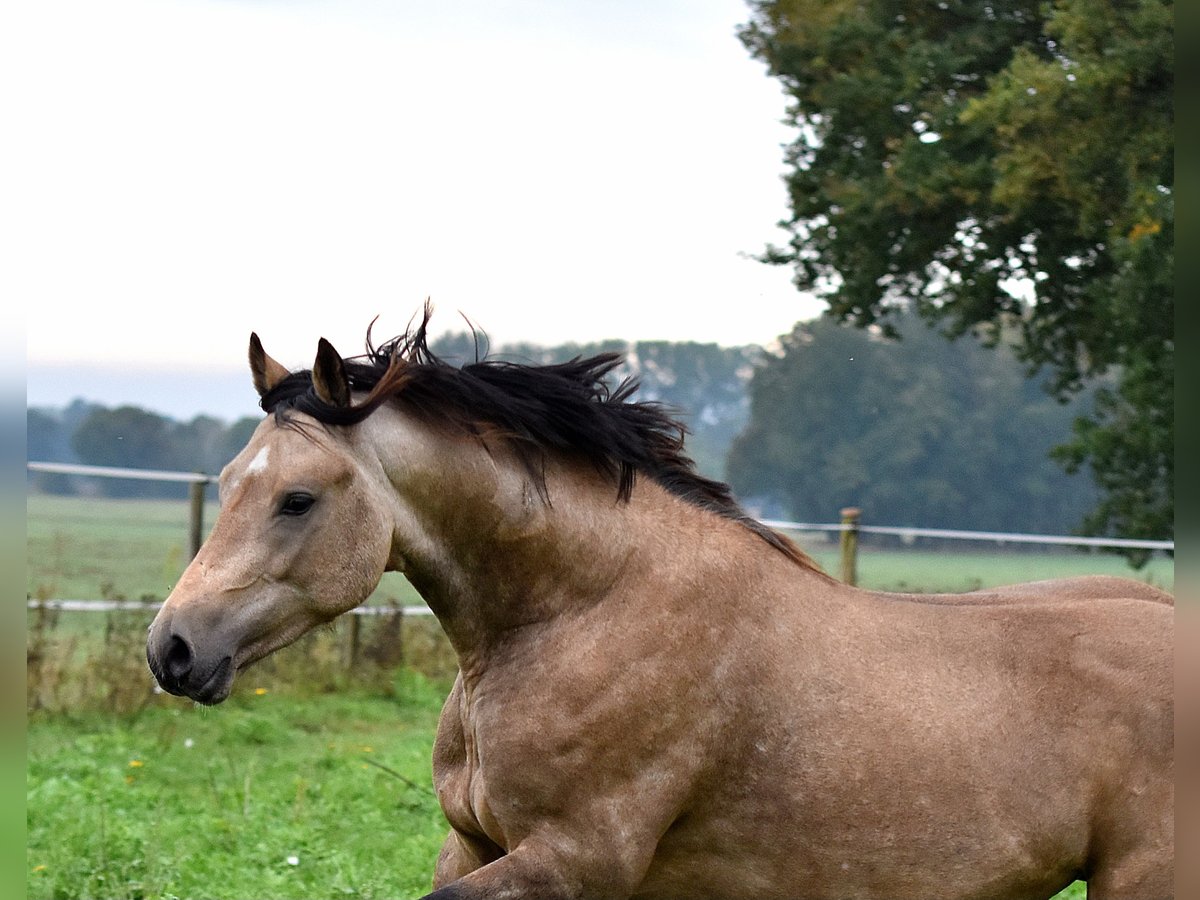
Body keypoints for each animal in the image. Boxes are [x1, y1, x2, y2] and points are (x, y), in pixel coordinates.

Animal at [142, 312, 1171, 900]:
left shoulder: (575, 859)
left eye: (297, 499)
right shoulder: (473, 848)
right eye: (226, 482)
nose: (172, 649)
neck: (585, 614)